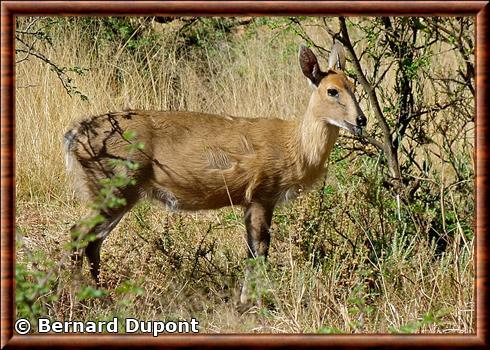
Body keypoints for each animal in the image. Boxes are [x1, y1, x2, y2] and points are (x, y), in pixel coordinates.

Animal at [64, 42, 364, 306]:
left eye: (354, 85)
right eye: (332, 91)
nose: (361, 120)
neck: (294, 147)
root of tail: (74, 135)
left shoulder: (249, 200)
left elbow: (252, 250)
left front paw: (246, 300)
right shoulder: (263, 192)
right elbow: (260, 250)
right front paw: (253, 303)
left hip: (117, 191)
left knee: (93, 241)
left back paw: (101, 296)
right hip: (113, 183)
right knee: (78, 233)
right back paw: (82, 297)